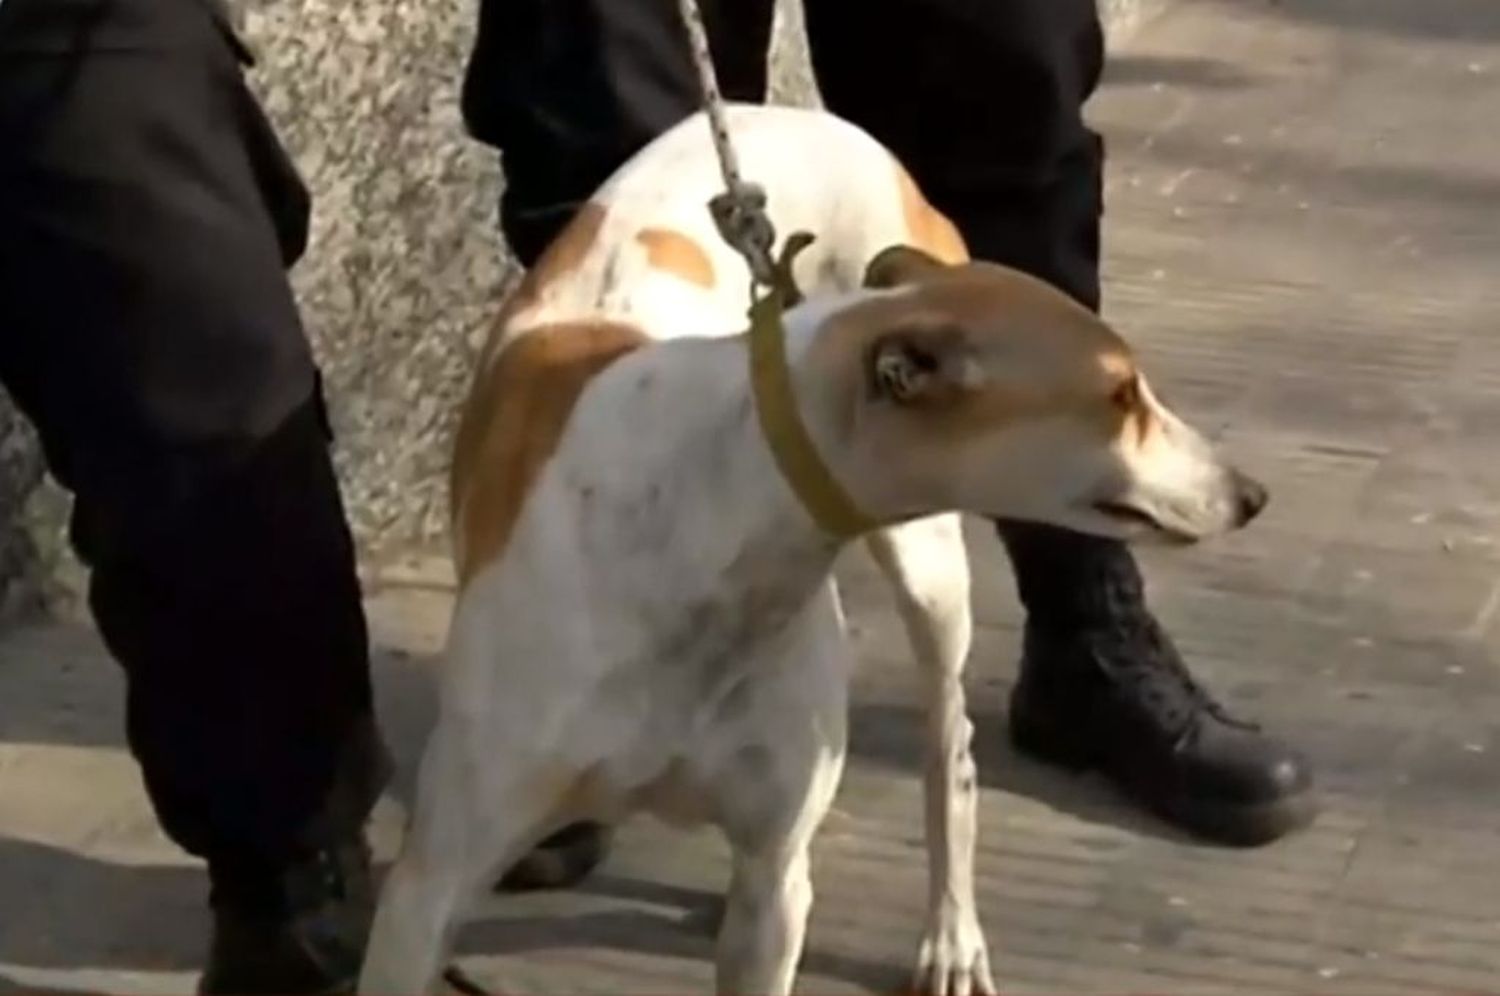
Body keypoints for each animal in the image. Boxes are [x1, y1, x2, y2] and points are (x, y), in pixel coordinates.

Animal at [360, 102, 1266, 996]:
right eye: (1120, 396)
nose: (1250, 494)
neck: (713, 525)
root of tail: (807, 115)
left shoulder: (775, 875)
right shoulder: (426, 894)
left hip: (931, 581)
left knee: (951, 754)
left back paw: (951, 933)